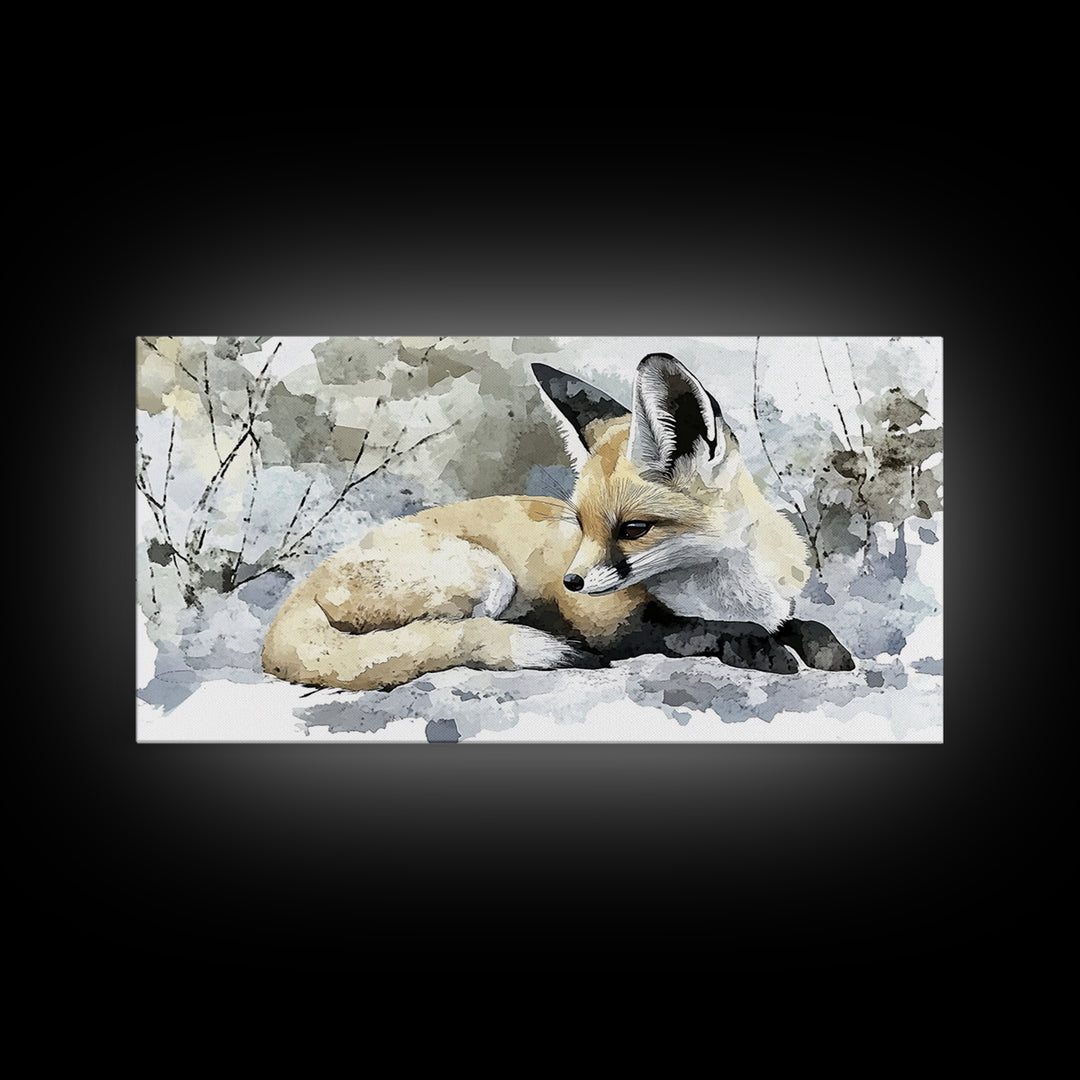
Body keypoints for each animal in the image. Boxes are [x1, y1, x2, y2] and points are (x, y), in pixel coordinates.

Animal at [262, 352, 853, 692]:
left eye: (632, 529)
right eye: (581, 524)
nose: (571, 581)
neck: (726, 589)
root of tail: (294, 599)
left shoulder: (777, 603)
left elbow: (803, 623)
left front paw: (822, 647)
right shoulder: (614, 628)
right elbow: (699, 630)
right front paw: (758, 648)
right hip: (486, 576)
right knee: (433, 642)